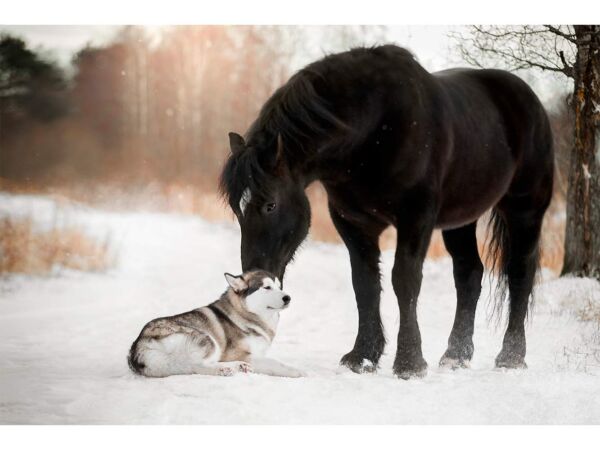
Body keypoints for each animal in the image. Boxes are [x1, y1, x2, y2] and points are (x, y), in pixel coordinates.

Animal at [127, 270, 304, 376]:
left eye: (279, 287)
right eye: (267, 287)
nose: (288, 297)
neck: (245, 314)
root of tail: (138, 346)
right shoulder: (240, 353)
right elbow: (275, 362)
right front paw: (296, 371)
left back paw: (238, 366)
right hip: (208, 340)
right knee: (197, 365)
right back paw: (226, 368)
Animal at [220, 44, 552, 380]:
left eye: (270, 205)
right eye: (237, 208)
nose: (252, 275)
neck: (373, 131)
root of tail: (530, 100)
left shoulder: (416, 218)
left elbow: (404, 280)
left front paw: (409, 363)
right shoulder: (354, 222)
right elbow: (365, 283)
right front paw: (363, 357)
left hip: (525, 209)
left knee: (519, 274)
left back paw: (511, 357)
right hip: (461, 220)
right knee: (468, 274)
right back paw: (455, 356)